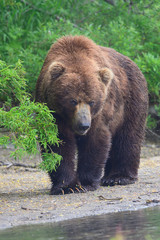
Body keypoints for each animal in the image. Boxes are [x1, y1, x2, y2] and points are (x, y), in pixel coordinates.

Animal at [35, 35, 148, 194]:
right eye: (73, 100)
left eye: (92, 101)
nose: (83, 125)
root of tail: (134, 64)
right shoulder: (52, 111)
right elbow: (58, 143)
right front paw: (66, 186)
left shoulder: (100, 112)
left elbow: (95, 140)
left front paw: (86, 183)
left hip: (132, 100)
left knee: (128, 136)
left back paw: (118, 177)